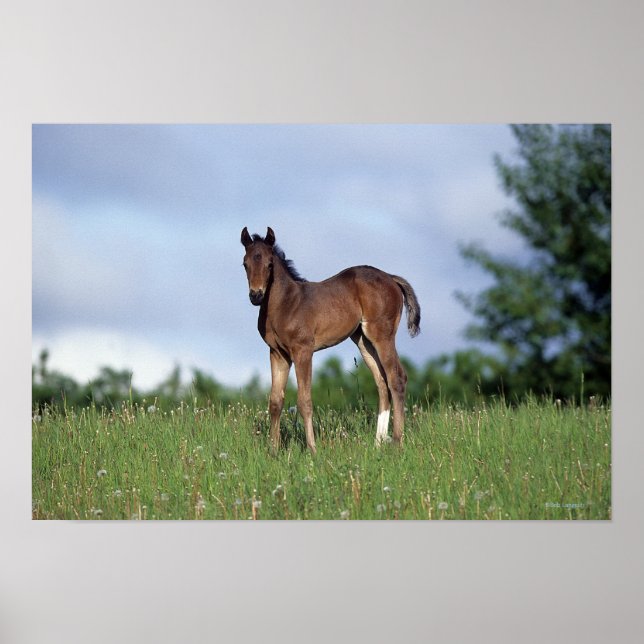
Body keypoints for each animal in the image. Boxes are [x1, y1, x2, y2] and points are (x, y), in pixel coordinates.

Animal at [241, 226, 421, 455]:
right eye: (245, 264)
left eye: (269, 264)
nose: (255, 295)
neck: (285, 303)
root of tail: (390, 277)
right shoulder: (278, 353)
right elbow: (275, 401)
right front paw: (273, 451)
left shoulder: (303, 350)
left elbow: (304, 401)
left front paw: (312, 449)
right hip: (363, 340)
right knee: (382, 382)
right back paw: (377, 443)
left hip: (382, 335)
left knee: (396, 377)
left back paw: (397, 442)